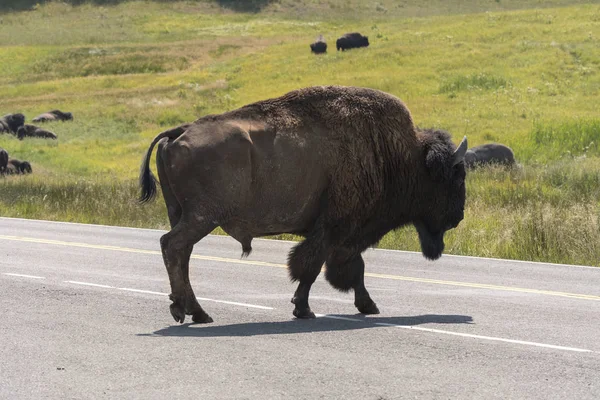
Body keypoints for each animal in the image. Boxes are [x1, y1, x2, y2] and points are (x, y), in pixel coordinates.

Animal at [139, 85, 468, 324]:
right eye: (456, 175)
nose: (459, 217)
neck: (399, 156)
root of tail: (179, 131)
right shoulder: (336, 227)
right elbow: (312, 265)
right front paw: (305, 309)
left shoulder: (341, 233)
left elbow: (351, 267)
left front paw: (367, 305)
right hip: (202, 216)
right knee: (173, 246)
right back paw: (188, 311)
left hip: (181, 213)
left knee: (181, 254)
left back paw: (194, 312)